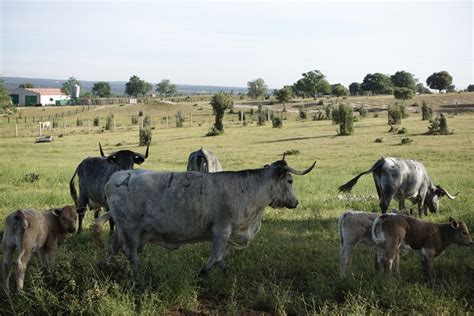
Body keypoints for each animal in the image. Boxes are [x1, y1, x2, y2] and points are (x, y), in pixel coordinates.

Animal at [94, 159, 316, 276]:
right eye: (290, 180)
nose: (296, 202)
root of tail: (116, 178)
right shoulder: (221, 230)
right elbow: (216, 256)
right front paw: (201, 273)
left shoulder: (229, 235)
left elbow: (223, 258)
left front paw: (224, 275)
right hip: (130, 229)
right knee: (130, 252)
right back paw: (139, 274)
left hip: (122, 230)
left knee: (112, 248)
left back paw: (106, 267)